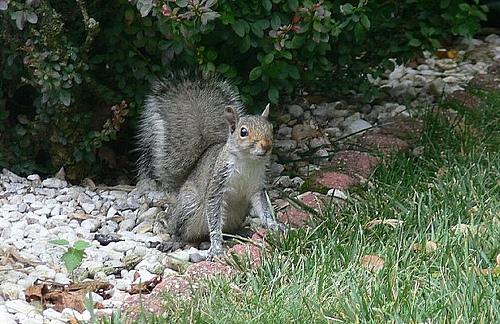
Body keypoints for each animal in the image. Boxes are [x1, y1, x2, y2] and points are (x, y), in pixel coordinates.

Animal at [137, 71, 278, 260]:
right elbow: (214, 214)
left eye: (271, 128)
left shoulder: (256, 186)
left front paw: (273, 225)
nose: (266, 145)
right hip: (190, 208)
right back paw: (175, 241)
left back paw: (242, 231)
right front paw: (216, 248)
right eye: (243, 132)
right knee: (181, 232)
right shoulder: (217, 182)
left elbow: (262, 207)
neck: (248, 162)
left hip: (237, 213)